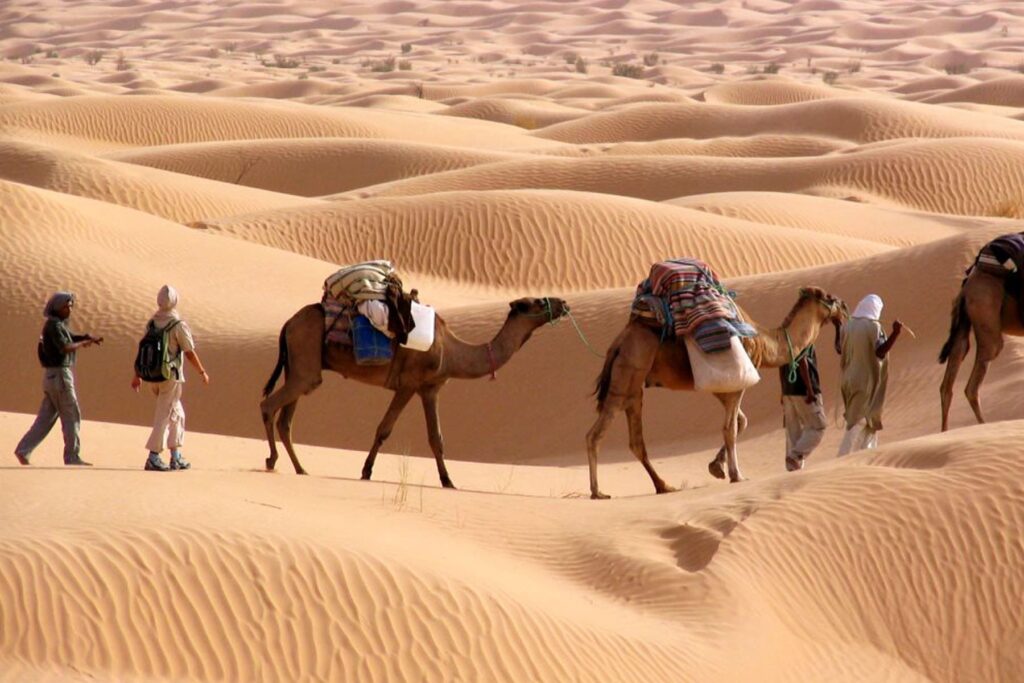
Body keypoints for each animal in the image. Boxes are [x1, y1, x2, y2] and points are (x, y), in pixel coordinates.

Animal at [258, 296, 569, 489]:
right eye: (535, 301)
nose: (563, 303)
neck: (452, 352)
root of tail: (288, 323)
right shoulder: (408, 384)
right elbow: (384, 429)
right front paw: (366, 472)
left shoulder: (430, 389)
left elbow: (436, 438)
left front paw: (448, 481)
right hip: (305, 359)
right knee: (268, 405)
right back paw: (271, 460)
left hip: (300, 367)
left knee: (286, 419)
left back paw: (300, 468)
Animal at [585, 286, 847, 499]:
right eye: (831, 298)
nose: (845, 309)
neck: (765, 342)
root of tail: (618, 343)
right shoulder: (738, 381)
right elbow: (730, 428)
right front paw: (737, 475)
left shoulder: (722, 386)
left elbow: (741, 422)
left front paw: (716, 467)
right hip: (628, 372)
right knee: (595, 434)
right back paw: (598, 492)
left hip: (634, 386)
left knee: (636, 440)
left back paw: (664, 486)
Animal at [937, 264, 1024, 430]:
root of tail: (965, 290)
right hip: (987, 320)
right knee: (971, 388)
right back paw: (985, 426)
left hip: (963, 326)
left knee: (947, 384)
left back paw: (945, 432)